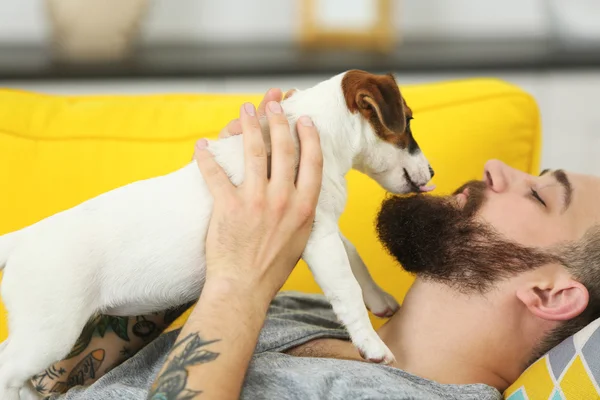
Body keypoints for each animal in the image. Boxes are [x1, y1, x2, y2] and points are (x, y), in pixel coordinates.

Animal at [0, 70, 434, 398]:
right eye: (410, 121)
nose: (432, 173)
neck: (310, 131)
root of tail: (19, 240)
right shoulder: (318, 234)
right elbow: (346, 288)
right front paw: (371, 343)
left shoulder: (319, 223)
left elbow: (355, 256)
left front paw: (379, 298)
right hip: (51, 330)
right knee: (8, 369)